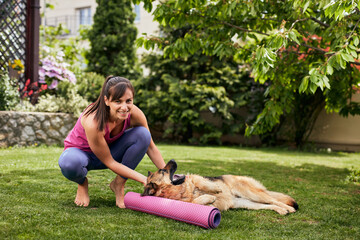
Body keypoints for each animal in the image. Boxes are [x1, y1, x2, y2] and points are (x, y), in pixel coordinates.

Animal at [143, 160, 298, 215]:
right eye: (162, 170)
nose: (173, 160)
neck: (180, 190)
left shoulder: (196, 178)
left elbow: (202, 183)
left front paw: (215, 189)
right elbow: (195, 201)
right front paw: (209, 198)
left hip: (251, 192)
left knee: (273, 199)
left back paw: (288, 208)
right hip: (247, 203)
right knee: (268, 204)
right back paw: (282, 210)